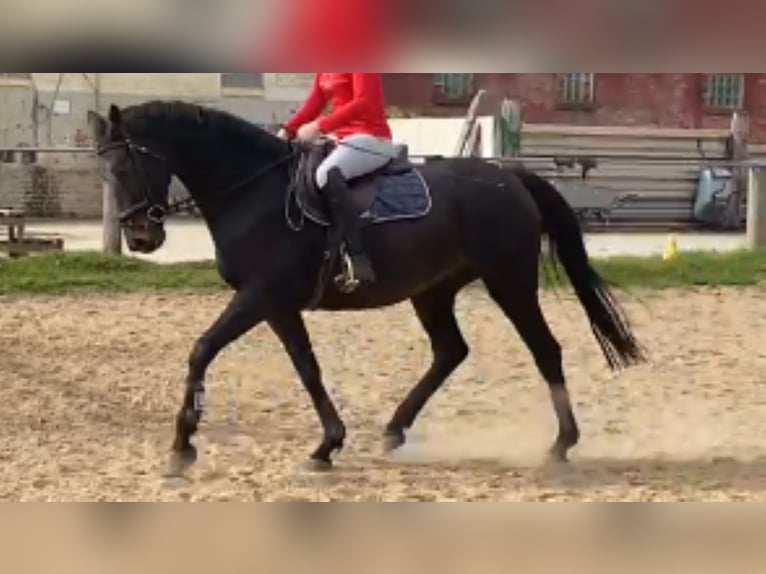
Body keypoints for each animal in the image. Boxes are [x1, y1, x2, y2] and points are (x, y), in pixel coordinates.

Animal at [88, 102, 648, 472]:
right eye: (105, 168)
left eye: (129, 163)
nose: (140, 238)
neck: (254, 191)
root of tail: (508, 177)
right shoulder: (277, 305)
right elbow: (306, 368)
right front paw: (327, 445)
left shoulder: (261, 296)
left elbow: (203, 348)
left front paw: (184, 442)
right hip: (433, 291)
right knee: (450, 351)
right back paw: (394, 431)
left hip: (508, 281)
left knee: (544, 349)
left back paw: (561, 444)